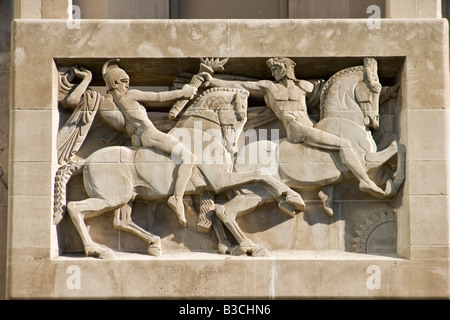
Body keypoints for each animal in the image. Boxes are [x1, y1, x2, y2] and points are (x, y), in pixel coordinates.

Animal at [54, 86, 304, 258]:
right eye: (241, 114)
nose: (232, 146)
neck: (202, 133)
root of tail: (86, 160)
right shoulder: (221, 180)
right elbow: (262, 174)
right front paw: (293, 198)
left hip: (126, 196)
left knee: (121, 221)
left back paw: (154, 243)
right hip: (111, 196)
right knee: (75, 208)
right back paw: (97, 250)